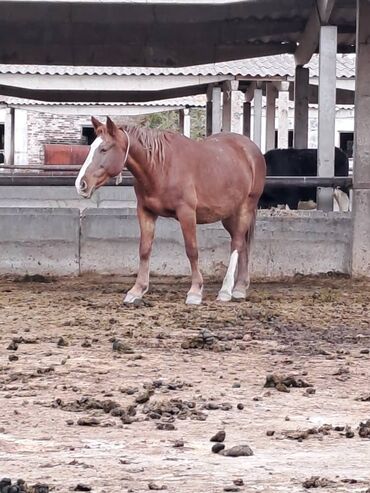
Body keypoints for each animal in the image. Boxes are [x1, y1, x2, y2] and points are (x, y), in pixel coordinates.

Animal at [76, 117, 266, 306]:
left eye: (104, 149)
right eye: (91, 148)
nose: (81, 184)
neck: (161, 167)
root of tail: (251, 149)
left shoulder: (186, 213)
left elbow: (192, 250)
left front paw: (195, 291)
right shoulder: (145, 212)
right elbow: (144, 249)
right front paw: (137, 290)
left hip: (245, 208)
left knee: (237, 244)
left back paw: (226, 290)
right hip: (229, 215)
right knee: (241, 244)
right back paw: (240, 288)